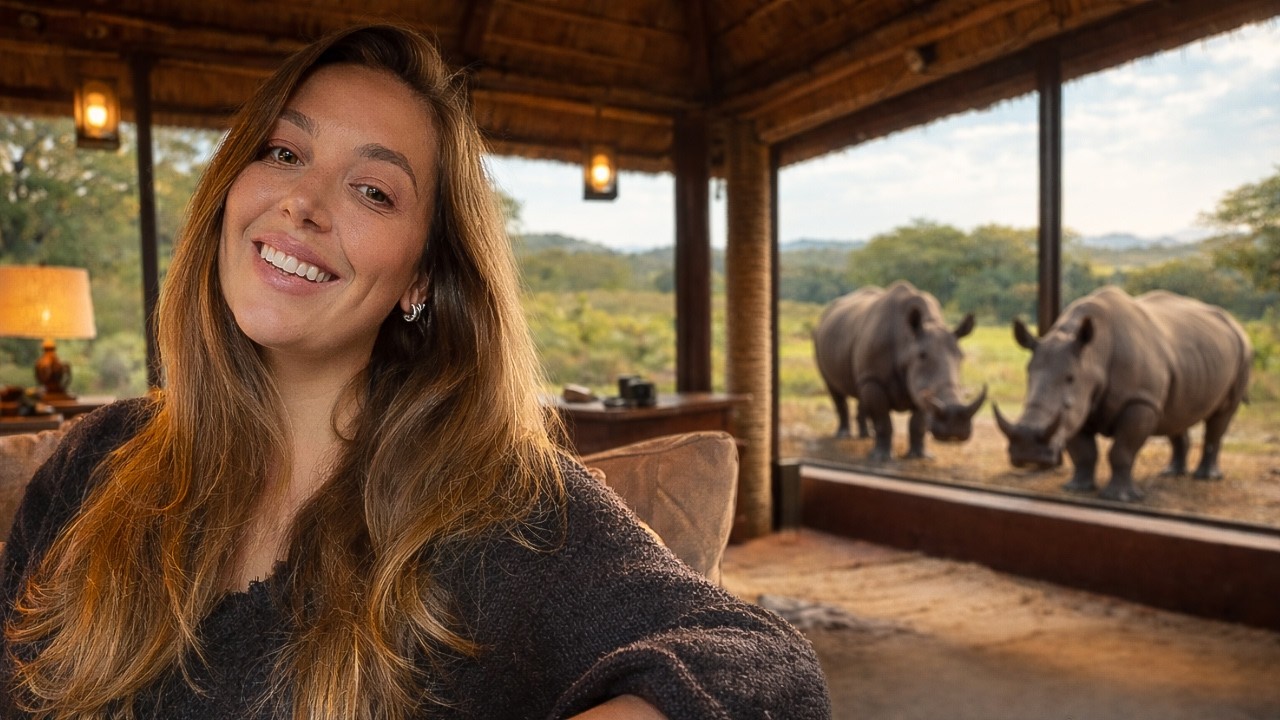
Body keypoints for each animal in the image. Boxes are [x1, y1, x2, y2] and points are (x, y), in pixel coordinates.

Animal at [813, 281, 986, 461]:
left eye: (962, 357)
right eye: (922, 355)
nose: (954, 431)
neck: (907, 341)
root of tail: (827, 312)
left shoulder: (918, 387)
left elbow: (918, 423)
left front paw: (919, 456)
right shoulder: (875, 379)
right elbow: (883, 421)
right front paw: (881, 457)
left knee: (860, 388)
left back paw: (866, 436)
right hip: (819, 337)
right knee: (834, 389)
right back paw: (843, 435)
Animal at [994, 286, 1252, 502]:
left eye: (1070, 378)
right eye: (1028, 377)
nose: (1028, 453)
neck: (1094, 353)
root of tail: (1233, 322)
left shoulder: (1139, 400)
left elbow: (1122, 450)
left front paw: (1120, 498)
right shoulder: (1077, 407)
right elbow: (1083, 450)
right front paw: (1076, 488)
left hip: (1244, 351)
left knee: (1222, 415)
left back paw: (1206, 477)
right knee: (1176, 412)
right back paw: (1171, 474)